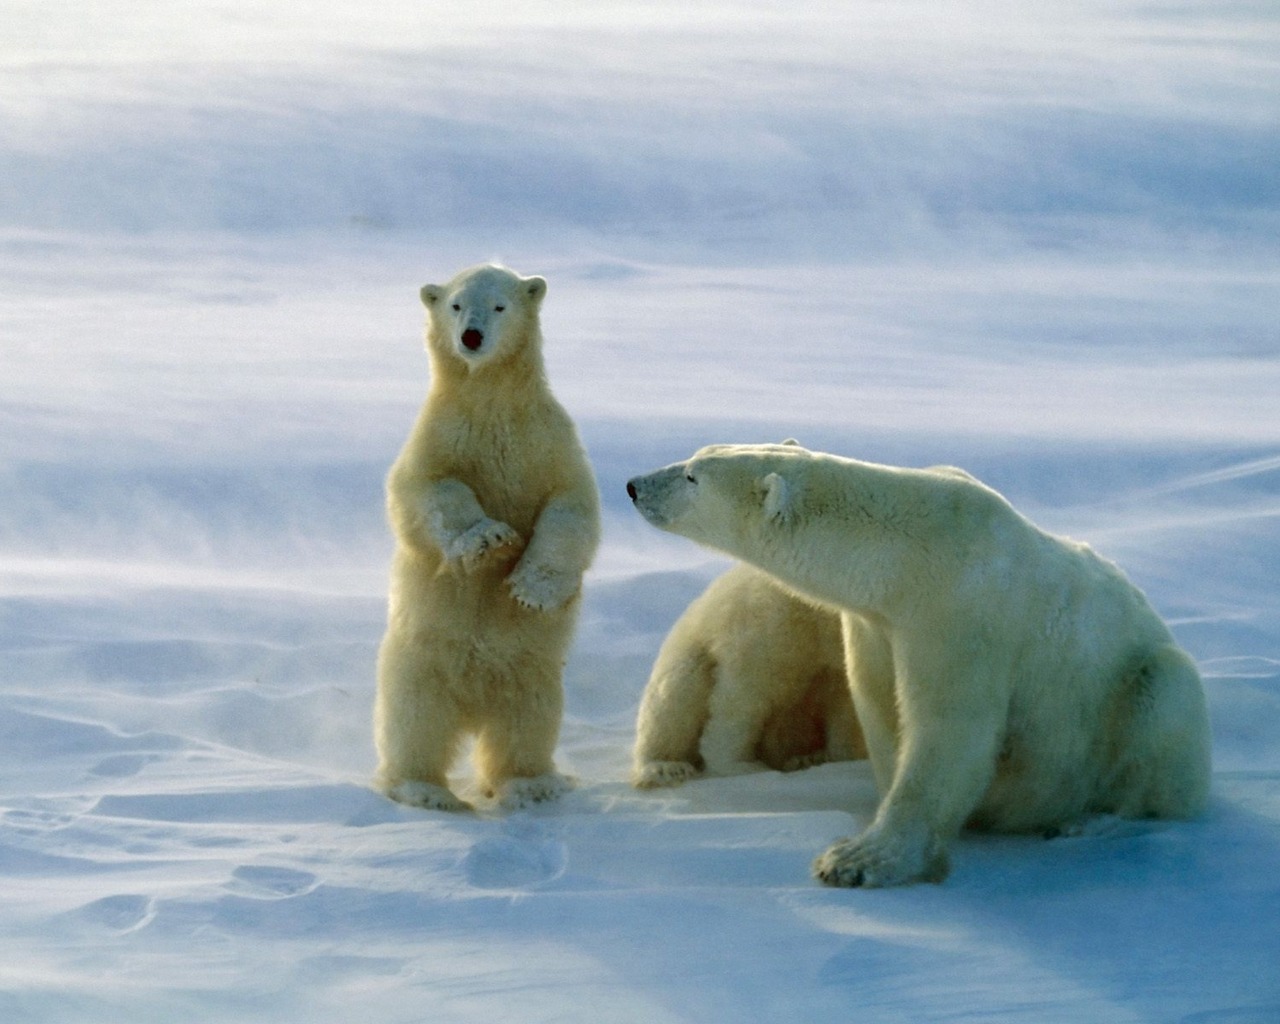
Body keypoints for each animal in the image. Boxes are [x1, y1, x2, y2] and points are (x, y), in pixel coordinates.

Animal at [373, 262, 599, 808]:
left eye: (500, 305)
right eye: (455, 304)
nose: (471, 337)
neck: (492, 402)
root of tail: (473, 706)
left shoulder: (546, 440)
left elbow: (571, 507)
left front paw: (530, 587)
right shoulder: (441, 436)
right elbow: (426, 491)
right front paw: (489, 540)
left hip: (533, 671)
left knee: (525, 723)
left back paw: (531, 784)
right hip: (418, 661)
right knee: (414, 721)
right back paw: (423, 789)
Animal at [632, 563, 865, 788]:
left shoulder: (835, 663)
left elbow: (845, 710)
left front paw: (836, 757)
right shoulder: (775, 624)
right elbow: (746, 694)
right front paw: (741, 765)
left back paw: (806, 757)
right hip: (688, 652)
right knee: (676, 698)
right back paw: (665, 767)